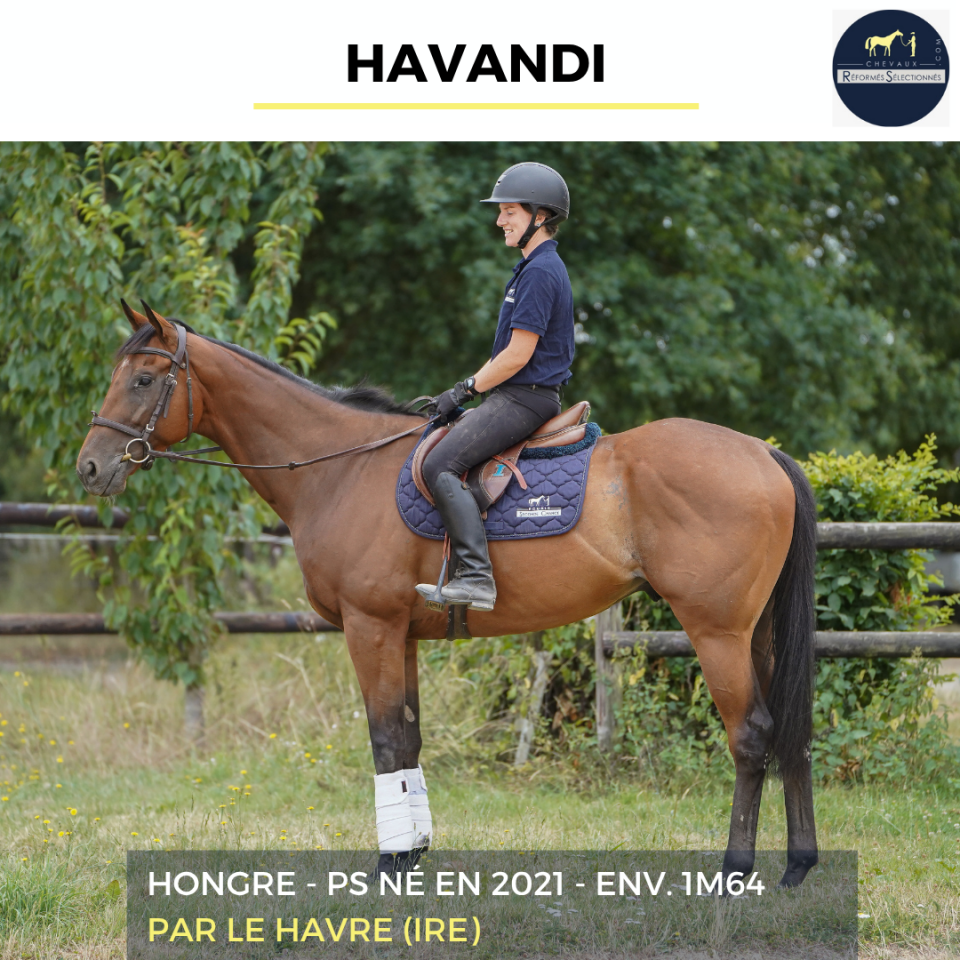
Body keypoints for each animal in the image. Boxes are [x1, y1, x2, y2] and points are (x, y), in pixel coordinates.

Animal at [77, 302, 819, 888]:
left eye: (143, 379)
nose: (90, 467)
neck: (341, 471)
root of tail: (763, 453)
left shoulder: (369, 626)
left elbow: (383, 739)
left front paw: (387, 865)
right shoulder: (399, 632)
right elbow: (408, 739)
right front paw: (412, 854)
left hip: (717, 632)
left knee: (751, 735)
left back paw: (735, 871)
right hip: (757, 633)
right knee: (790, 733)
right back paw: (797, 865)